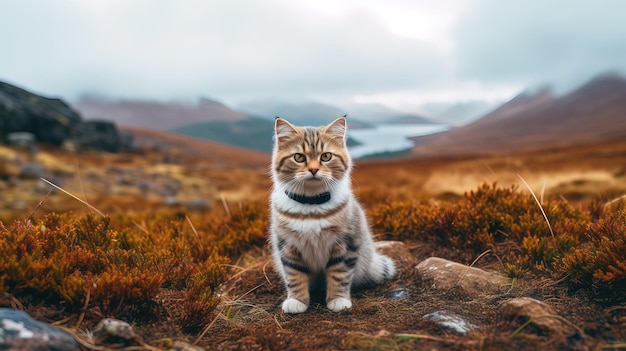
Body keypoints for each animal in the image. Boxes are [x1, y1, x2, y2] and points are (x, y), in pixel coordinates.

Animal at [268, 116, 394, 314]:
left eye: (326, 156)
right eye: (299, 157)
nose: (313, 170)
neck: (311, 205)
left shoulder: (346, 244)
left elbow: (339, 275)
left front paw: (338, 300)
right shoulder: (287, 246)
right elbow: (294, 275)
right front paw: (297, 300)